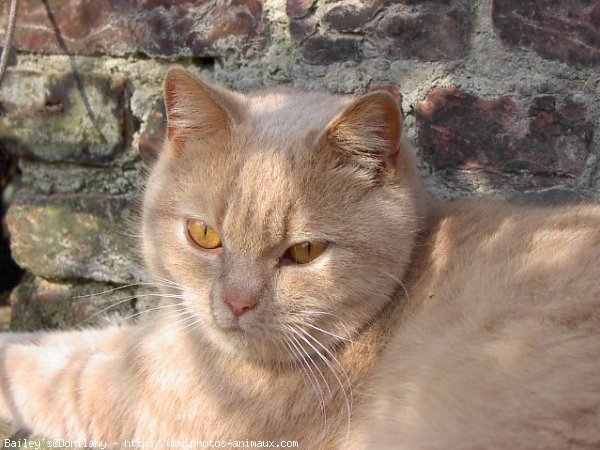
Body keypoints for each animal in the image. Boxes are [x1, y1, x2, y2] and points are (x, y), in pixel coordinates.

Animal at [0, 64, 596, 450]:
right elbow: (64, 343)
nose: (236, 302)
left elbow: (50, 379)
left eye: (304, 251)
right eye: (204, 234)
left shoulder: (131, 398)